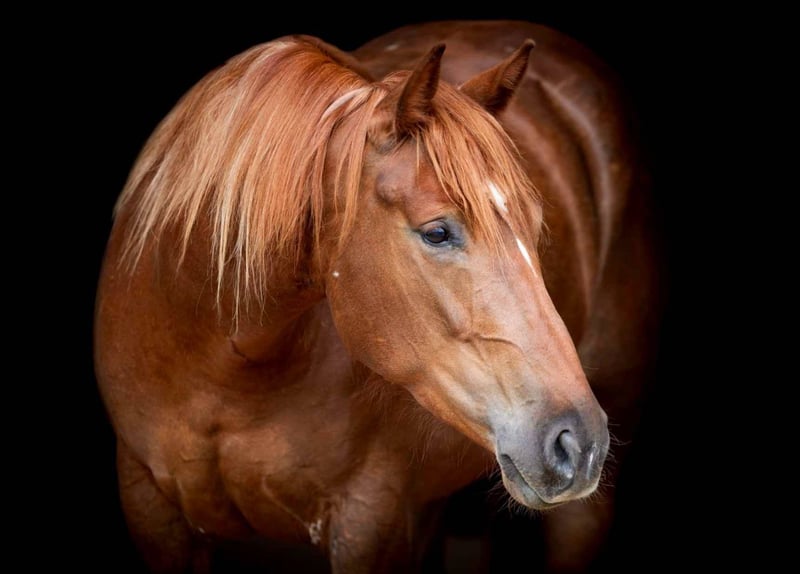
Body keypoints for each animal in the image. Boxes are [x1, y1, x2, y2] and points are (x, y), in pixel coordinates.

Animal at [94, 19, 661, 573]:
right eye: (437, 232)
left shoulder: (371, 522)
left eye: (537, 225)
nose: (578, 441)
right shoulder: (151, 509)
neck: (223, 366)